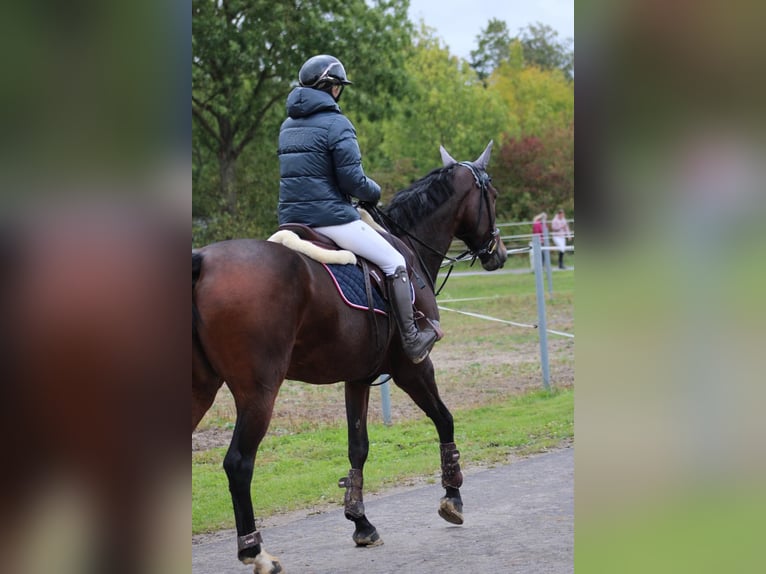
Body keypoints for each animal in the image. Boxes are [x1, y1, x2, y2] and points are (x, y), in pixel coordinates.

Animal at [192, 141, 508, 573]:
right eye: (492, 196)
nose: (499, 254)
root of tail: (202, 262)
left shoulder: (357, 377)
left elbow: (358, 446)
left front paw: (361, 522)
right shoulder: (412, 368)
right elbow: (445, 419)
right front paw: (452, 497)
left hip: (200, 389)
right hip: (258, 393)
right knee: (239, 464)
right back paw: (255, 552)